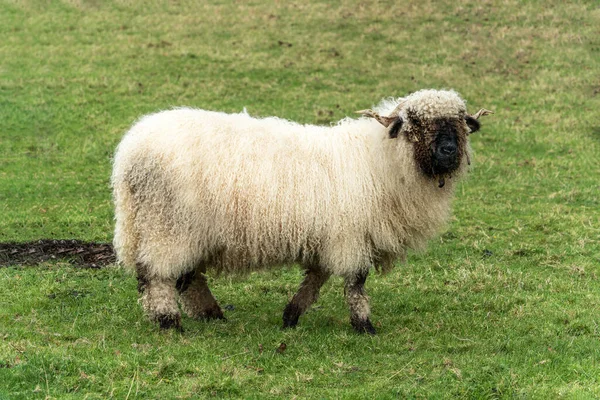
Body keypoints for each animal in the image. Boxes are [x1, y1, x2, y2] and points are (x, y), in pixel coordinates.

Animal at [112, 90, 492, 334]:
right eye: (415, 123)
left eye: (460, 123)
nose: (449, 150)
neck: (381, 161)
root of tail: (129, 152)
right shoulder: (350, 235)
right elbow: (355, 283)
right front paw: (364, 325)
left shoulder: (329, 236)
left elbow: (315, 279)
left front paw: (291, 316)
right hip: (169, 223)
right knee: (158, 274)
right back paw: (168, 322)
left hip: (179, 228)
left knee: (185, 276)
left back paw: (210, 314)